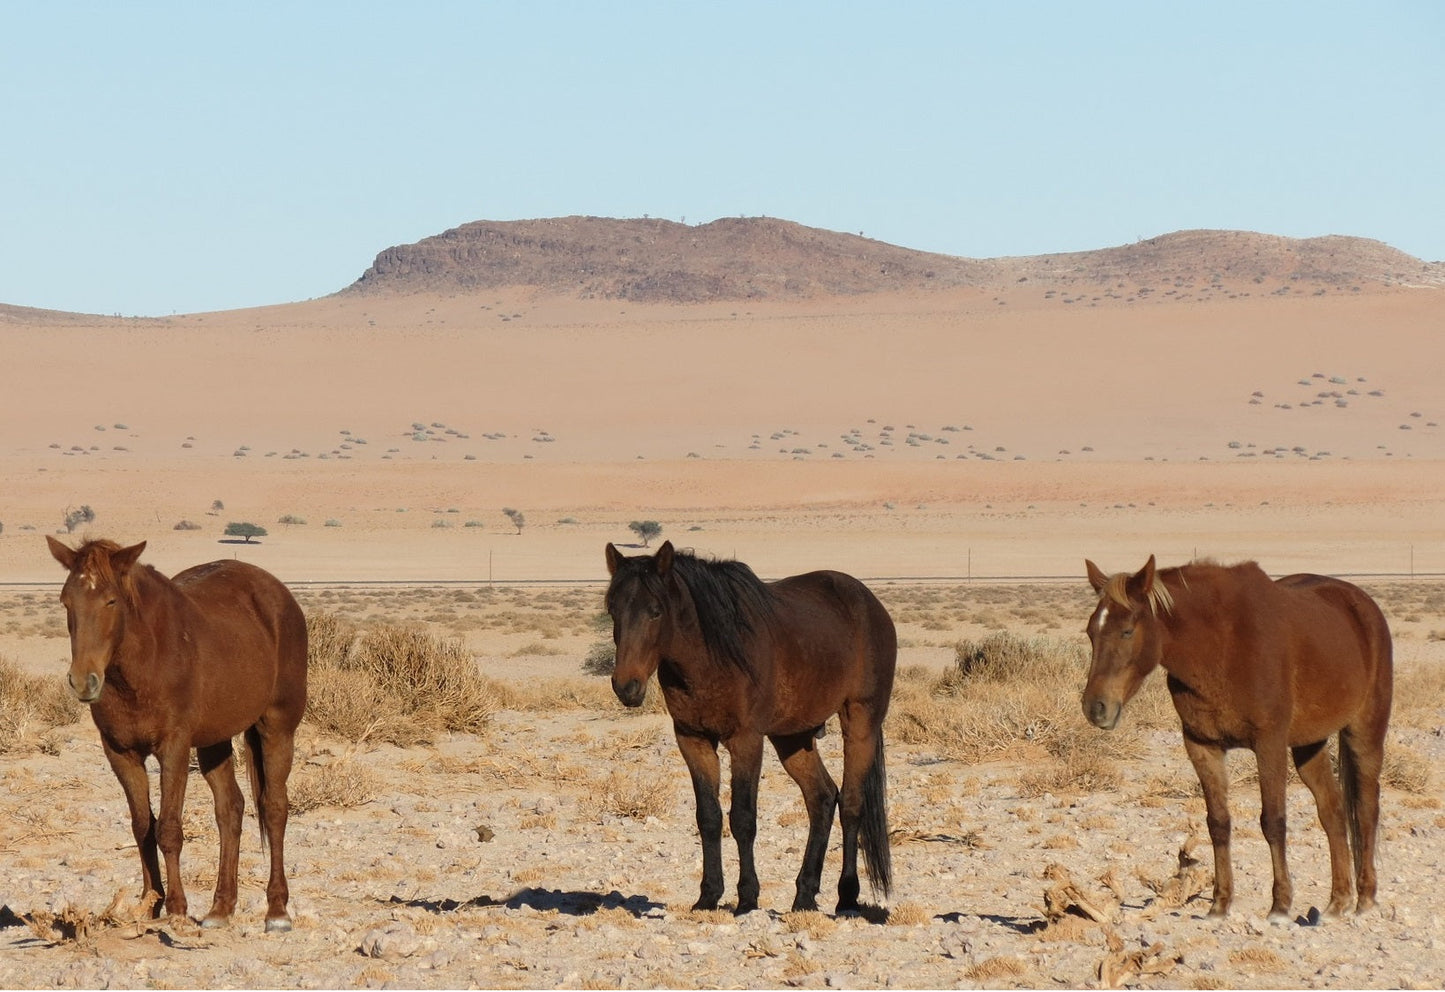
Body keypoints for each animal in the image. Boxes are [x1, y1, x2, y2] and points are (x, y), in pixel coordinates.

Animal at [50, 534, 307, 929]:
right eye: (66, 601)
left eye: (111, 601)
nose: (83, 681)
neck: (142, 663)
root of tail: (278, 593)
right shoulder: (121, 753)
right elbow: (143, 826)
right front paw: (148, 903)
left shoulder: (174, 747)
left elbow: (169, 828)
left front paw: (176, 908)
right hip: (215, 741)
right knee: (230, 810)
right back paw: (221, 908)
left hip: (277, 728)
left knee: (274, 807)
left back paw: (277, 911)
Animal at [598, 542, 890, 918]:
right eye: (613, 610)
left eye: (656, 611)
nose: (626, 686)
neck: (711, 655)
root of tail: (869, 603)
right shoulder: (693, 740)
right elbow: (708, 817)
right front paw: (708, 896)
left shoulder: (746, 740)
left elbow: (743, 818)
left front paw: (747, 898)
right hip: (792, 738)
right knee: (822, 798)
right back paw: (804, 895)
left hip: (860, 722)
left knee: (851, 804)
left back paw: (847, 897)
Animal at [1086, 560, 1387, 924]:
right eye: (1090, 632)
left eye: (1127, 631)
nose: (1095, 707)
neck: (1221, 646)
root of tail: (1363, 604)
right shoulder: (1202, 745)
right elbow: (1218, 823)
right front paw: (1220, 903)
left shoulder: (1269, 744)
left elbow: (1273, 821)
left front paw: (1280, 905)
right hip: (1309, 745)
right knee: (1332, 810)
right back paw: (1338, 901)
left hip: (1365, 733)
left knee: (1366, 808)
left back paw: (1366, 898)